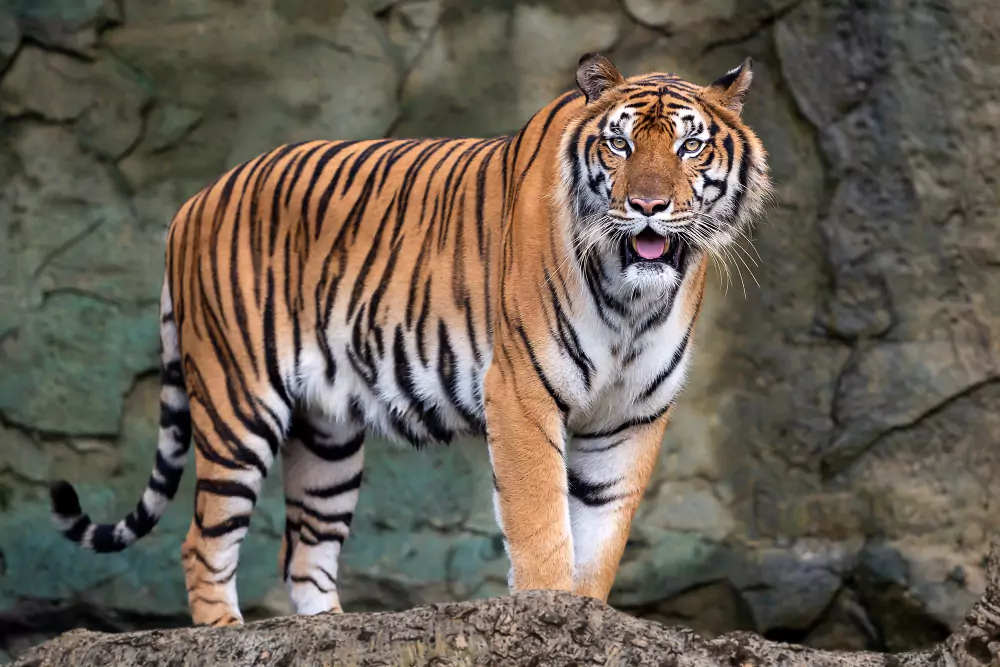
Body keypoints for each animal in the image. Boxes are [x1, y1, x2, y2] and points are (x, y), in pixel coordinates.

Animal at [48, 53, 771, 627]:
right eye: (619, 146)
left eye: (689, 147)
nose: (648, 206)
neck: (633, 298)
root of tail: (193, 202)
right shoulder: (523, 392)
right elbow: (542, 524)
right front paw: (548, 608)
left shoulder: (632, 415)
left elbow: (602, 538)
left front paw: (586, 613)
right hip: (237, 403)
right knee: (203, 543)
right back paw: (225, 632)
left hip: (327, 435)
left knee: (303, 554)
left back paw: (329, 630)